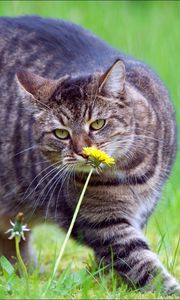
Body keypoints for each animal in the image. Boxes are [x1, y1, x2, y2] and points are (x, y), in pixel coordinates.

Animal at [0, 15, 179, 294]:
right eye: (61, 133)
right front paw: (167, 290)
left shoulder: (142, 210)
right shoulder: (99, 222)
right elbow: (140, 263)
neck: (130, 171)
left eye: (97, 124)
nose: (83, 152)